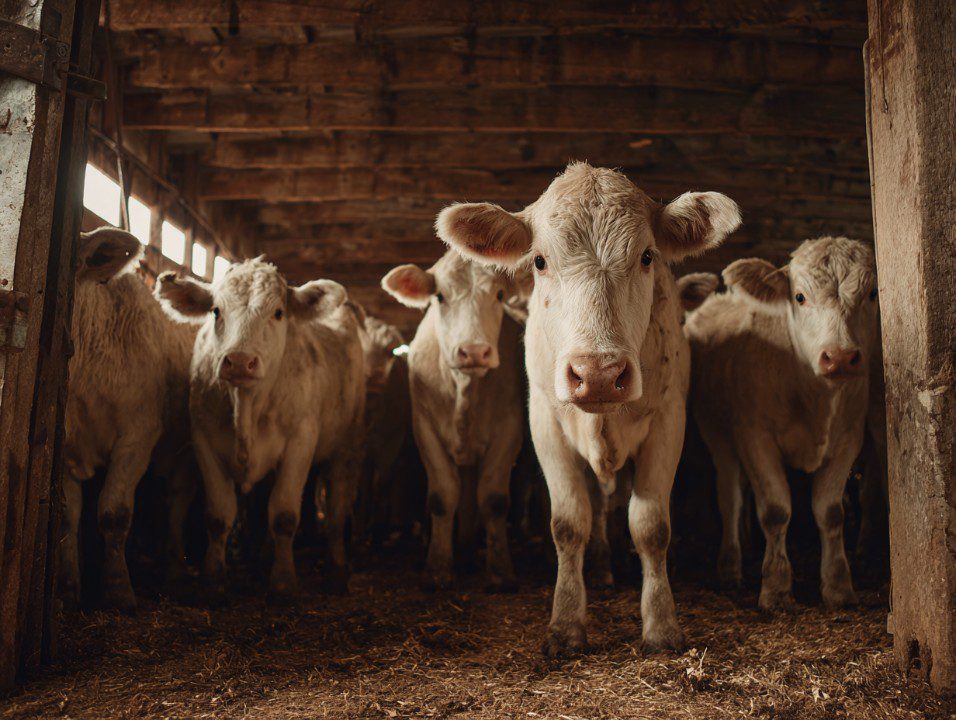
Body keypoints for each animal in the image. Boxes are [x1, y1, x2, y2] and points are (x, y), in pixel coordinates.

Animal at [63, 227, 196, 611]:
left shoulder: (138, 437)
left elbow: (114, 512)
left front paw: (120, 591)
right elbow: (68, 516)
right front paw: (69, 589)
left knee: (178, 500)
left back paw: (176, 570)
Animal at [155, 258, 365, 600]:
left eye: (278, 312)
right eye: (216, 310)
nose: (240, 361)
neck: (247, 407)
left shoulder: (300, 441)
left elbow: (284, 514)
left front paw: (283, 582)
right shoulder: (203, 439)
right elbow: (219, 515)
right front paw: (213, 579)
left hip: (348, 446)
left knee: (337, 507)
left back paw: (336, 572)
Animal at [381, 249, 525, 592]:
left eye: (500, 295)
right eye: (440, 296)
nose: (473, 351)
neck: (464, 389)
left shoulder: (510, 427)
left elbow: (494, 499)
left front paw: (501, 571)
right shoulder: (424, 426)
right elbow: (443, 496)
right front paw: (437, 567)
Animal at [436, 162, 741, 654]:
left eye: (647, 256)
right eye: (539, 261)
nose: (597, 372)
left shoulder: (669, 419)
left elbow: (650, 526)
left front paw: (661, 625)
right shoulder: (545, 421)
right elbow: (569, 522)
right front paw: (565, 624)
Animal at [684, 236, 879, 611]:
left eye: (872, 294)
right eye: (800, 297)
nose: (840, 357)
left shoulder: (849, 438)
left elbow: (831, 512)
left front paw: (838, 587)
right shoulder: (754, 437)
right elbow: (775, 510)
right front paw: (775, 589)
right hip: (717, 434)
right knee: (730, 494)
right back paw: (730, 566)